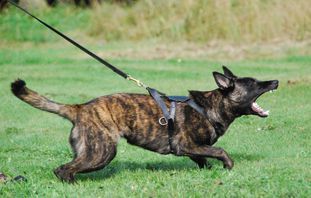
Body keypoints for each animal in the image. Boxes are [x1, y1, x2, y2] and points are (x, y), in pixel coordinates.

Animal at [11, 66, 280, 183]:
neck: (209, 106)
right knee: (63, 170)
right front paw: (228, 166)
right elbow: (220, 151)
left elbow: (204, 159)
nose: (275, 81)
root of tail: (78, 108)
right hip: (101, 153)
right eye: (254, 83)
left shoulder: (193, 149)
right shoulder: (186, 145)